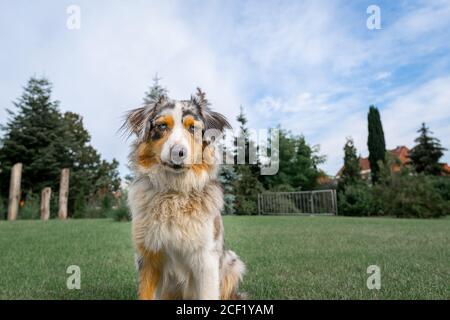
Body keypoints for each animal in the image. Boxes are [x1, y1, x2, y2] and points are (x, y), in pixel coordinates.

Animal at [121, 88, 244, 300]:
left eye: (192, 128)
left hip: (232, 261)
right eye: (162, 126)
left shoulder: (206, 258)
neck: (174, 192)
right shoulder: (148, 256)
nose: (178, 152)